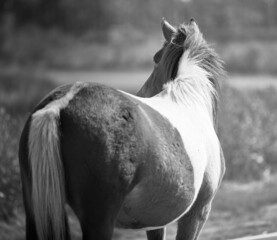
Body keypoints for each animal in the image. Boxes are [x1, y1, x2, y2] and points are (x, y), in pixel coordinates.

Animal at [18, 18, 224, 240]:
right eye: (156, 57)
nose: (142, 93)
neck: (189, 101)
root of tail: (62, 103)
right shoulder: (196, 213)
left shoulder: (155, 223)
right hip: (99, 219)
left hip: (35, 210)